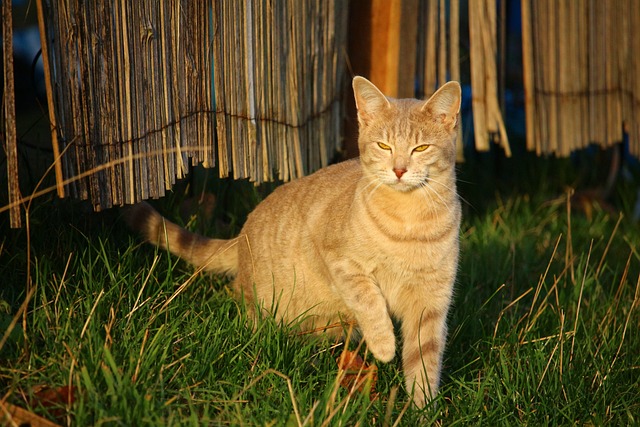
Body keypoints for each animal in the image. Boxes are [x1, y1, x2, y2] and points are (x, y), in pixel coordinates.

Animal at [127, 77, 462, 408]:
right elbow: (368, 299)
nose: (399, 170)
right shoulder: (338, 262)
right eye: (384, 145)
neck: (408, 223)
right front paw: (383, 344)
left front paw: (422, 409)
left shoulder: (431, 302)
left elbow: (424, 360)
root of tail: (242, 235)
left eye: (420, 147)